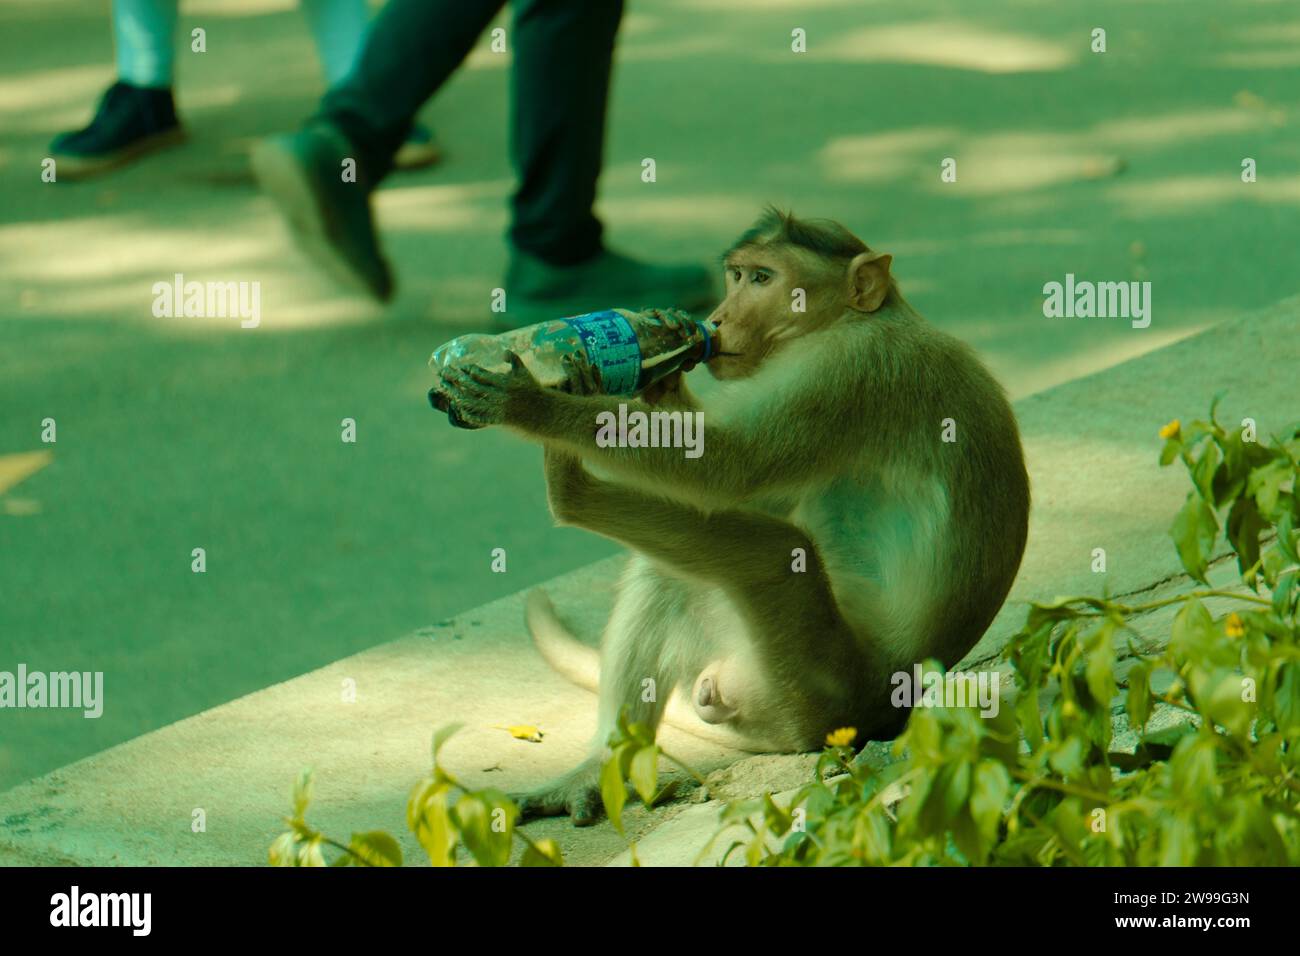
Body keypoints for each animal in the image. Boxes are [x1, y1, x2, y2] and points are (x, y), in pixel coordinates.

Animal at [437, 207, 1030, 826]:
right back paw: (598, 767)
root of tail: (884, 708)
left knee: (772, 554)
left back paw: (569, 487)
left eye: (763, 279)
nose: (716, 319)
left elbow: (726, 466)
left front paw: (531, 403)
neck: (860, 317)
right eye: (737, 275)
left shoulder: (852, 366)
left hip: (814, 683)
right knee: (672, 573)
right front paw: (663, 365)